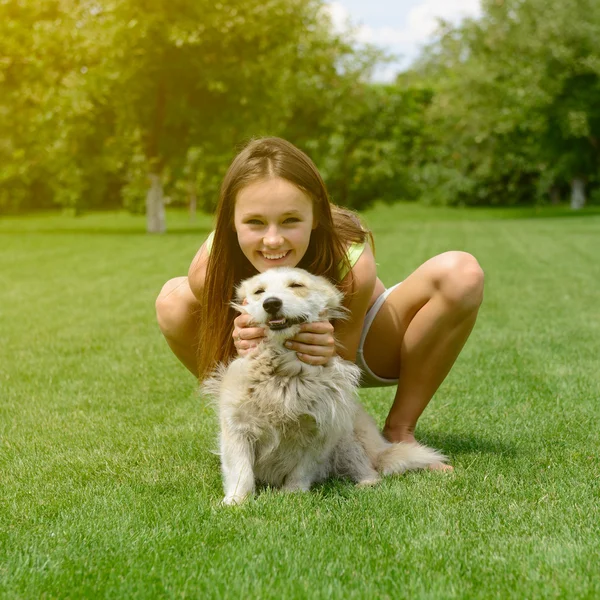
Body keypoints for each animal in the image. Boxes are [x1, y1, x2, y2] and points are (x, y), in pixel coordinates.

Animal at [204, 268, 448, 506]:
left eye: (296, 285)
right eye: (259, 292)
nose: (271, 303)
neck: (284, 373)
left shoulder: (321, 433)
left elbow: (301, 471)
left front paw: (292, 495)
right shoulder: (237, 429)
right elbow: (241, 471)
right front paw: (236, 500)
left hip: (348, 442)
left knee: (369, 470)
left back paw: (365, 484)